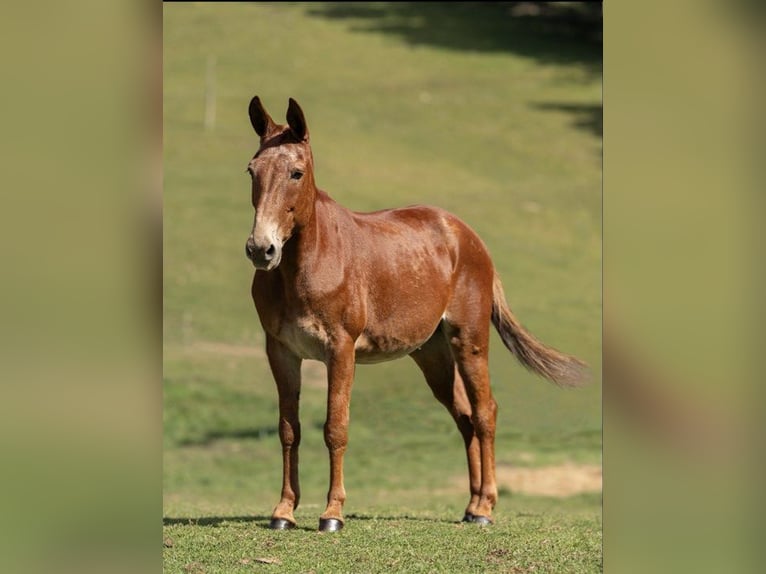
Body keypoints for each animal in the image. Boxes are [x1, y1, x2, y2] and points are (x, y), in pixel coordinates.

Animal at [244, 96, 588, 532]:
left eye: (296, 172)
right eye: (252, 170)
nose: (261, 249)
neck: (308, 264)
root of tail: (469, 237)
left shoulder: (340, 350)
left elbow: (336, 428)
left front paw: (332, 514)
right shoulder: (281, 352)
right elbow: (289, 430)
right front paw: (284, 512)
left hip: (469, 340)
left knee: (485, 412)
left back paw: (486, 507)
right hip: (432, 354)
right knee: (464, 417)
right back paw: (471, 506)